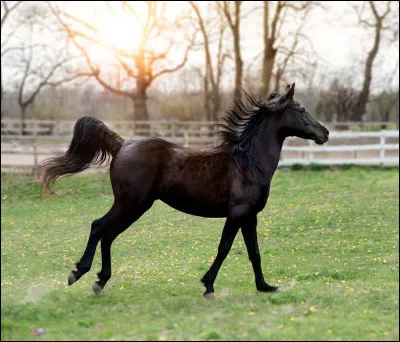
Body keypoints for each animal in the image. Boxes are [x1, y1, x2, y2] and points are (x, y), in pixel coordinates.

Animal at [39, 83, 328, 296]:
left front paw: (265, 287)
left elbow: (254, 252)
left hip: (133, 206)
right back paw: (78, 273)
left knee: (108, 234)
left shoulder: (250, 216)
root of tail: (121, 144)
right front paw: (208, 285)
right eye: (301, 108)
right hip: (131, 203)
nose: (324, 133)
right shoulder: (237, 213)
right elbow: (224, 248)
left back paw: (100, 281)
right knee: (99, 227)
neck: (249, 163)